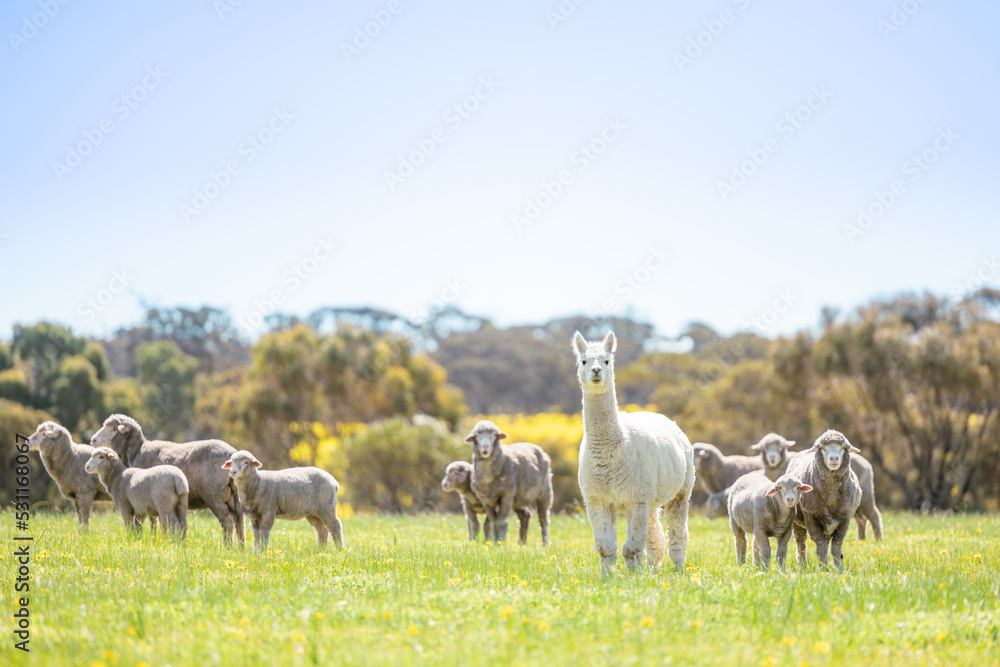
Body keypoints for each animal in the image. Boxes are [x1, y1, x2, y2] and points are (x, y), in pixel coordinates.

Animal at [90, 414, 245, 544]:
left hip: (213, 493)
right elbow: (161, 525)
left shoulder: (146, 497)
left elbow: (154, 522)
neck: (137, 451)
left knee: (227, 520)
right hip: (234, 494)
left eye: (114, 428)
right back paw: (241, 548)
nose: (93, 439)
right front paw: (163, 540)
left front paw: (157, 540)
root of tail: (231, 454)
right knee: (239, 520)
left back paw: (227, 546)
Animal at [573, 331, 695, 573]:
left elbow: (631, 547)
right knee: (654, 533)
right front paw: (607, 576)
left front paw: (633, 577)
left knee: (677, 532)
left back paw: (677, 568)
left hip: (682, 489)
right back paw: (653, 568)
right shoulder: (597, 499)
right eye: (583, 361)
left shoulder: (635, 499)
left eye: (606, 360)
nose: (596, 371)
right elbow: (606, 547)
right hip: (651, 497)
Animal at [755, 433, 883, 541]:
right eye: (822, 448)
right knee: (862, 520)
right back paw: (861, 540)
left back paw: (878, 539)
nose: (834, 458)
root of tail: (866, 463)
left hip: (866, 497)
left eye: (843, 448)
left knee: (874, 515)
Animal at [786, 429, 862, 571]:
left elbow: (836, 546)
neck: (831, 496)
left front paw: (839, 569)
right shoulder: (811, 516)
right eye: (822, 448)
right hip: (797, 522)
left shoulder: (845, 518)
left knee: (827, 544)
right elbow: (820, 544)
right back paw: (803, 566)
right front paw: (822, 569)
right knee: (801, 543)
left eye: (843, 447)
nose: (834, 458)